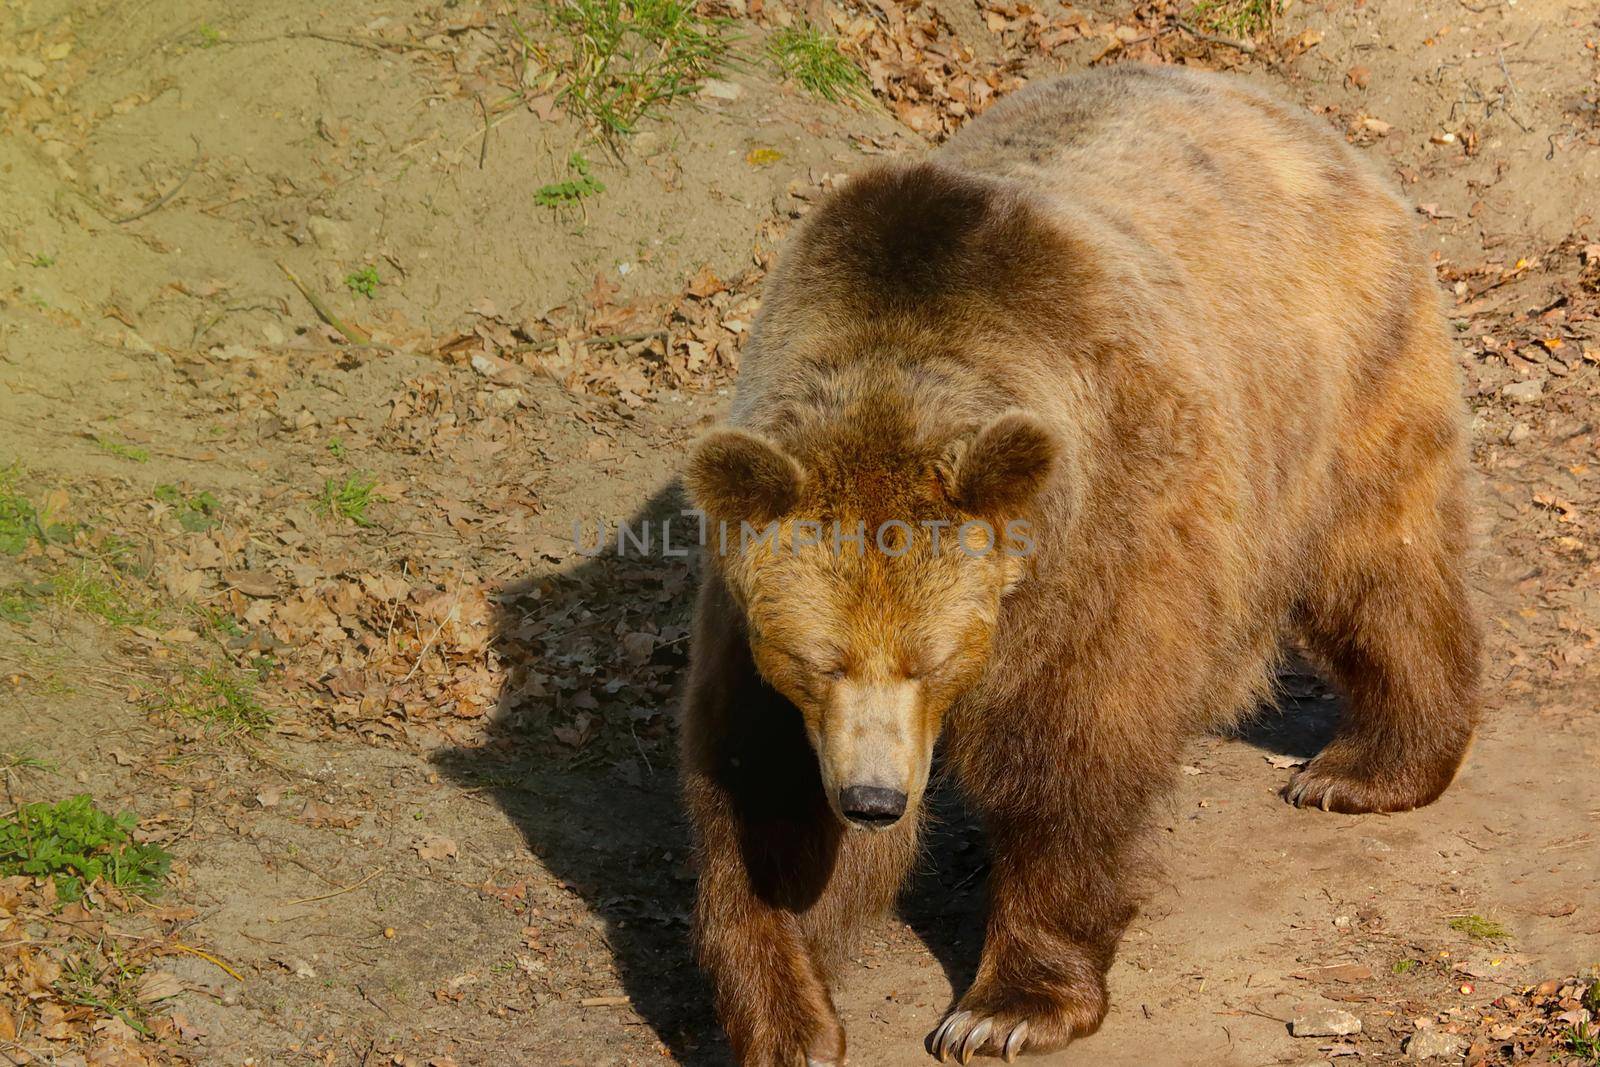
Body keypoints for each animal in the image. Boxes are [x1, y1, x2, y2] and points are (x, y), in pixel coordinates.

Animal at [675, 66, 1472, 1067]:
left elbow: (1073, 744)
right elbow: (759, 794)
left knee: (1379, 563)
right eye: (817, 659)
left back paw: (1362, 769)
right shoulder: (758, 628)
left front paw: (1005, 1007)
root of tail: (1284, 109)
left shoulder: (1099, 525)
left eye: (932, 660)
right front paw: (788, 1019)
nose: (873, 799)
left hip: (1334, 373)